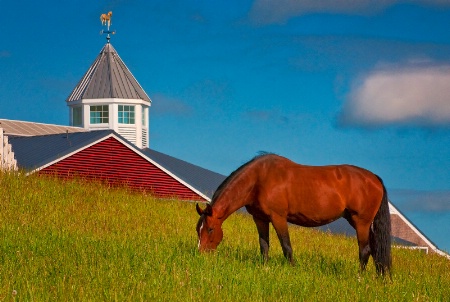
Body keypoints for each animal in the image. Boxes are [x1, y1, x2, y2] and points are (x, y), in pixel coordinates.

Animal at [196, 155, 390, 274]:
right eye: (198, 229)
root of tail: (374, 178)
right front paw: (264, 267)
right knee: (375, 249)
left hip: (361, 222)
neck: (259, 179)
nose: (201, 255)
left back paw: (360, 277)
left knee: (365, 250)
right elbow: (264, 245)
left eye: (210, 229)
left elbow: (286, 246)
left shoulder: (278, 218)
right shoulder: (260, 219)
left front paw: (292, 269)